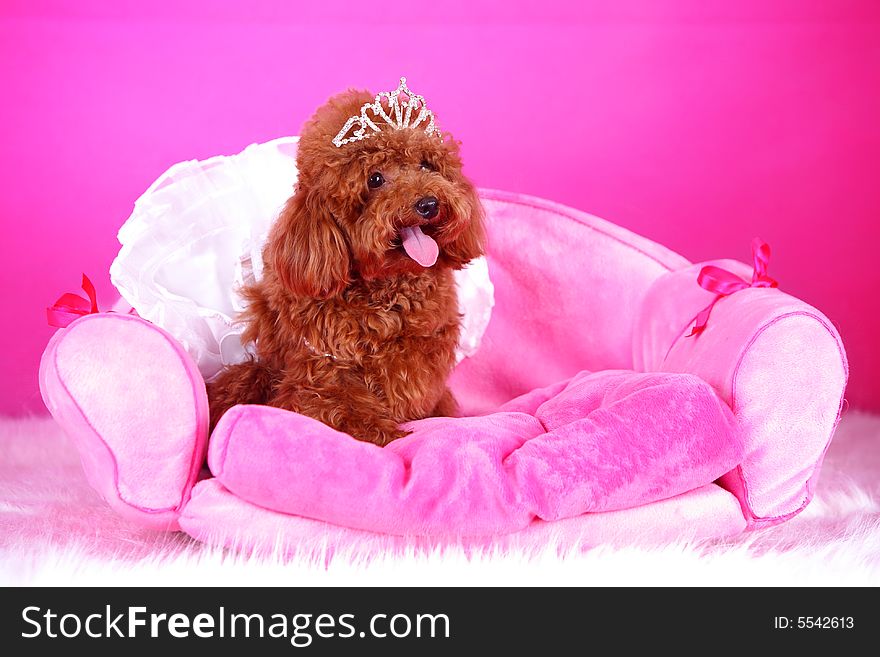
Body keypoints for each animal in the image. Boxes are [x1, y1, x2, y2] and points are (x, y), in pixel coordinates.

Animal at [206, 84, 484, 444]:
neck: (388, 292)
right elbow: (349, 412)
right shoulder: (322, 374)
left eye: (426, 165)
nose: (428, 204)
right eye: (375, 179)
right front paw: (390, 438)